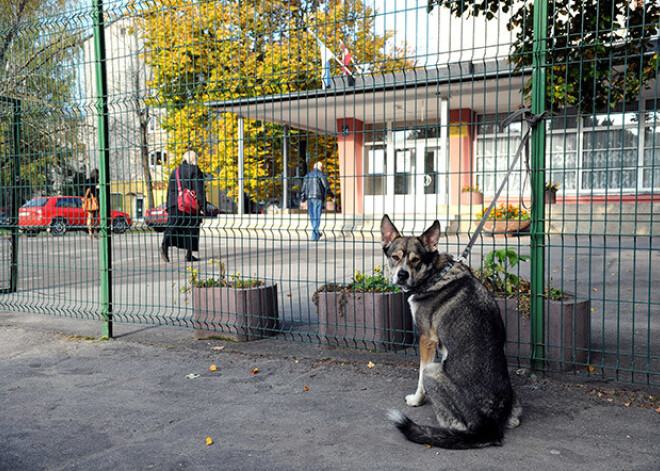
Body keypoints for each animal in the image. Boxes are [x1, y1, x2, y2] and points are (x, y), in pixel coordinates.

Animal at [382, 215, 520, 450]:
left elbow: (419, 377)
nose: (401, 275)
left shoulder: (426, 340)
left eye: (416, 260)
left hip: (433, 372)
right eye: (395, 257)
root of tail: (490, 426)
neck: (435, 275)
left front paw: (416, 401)